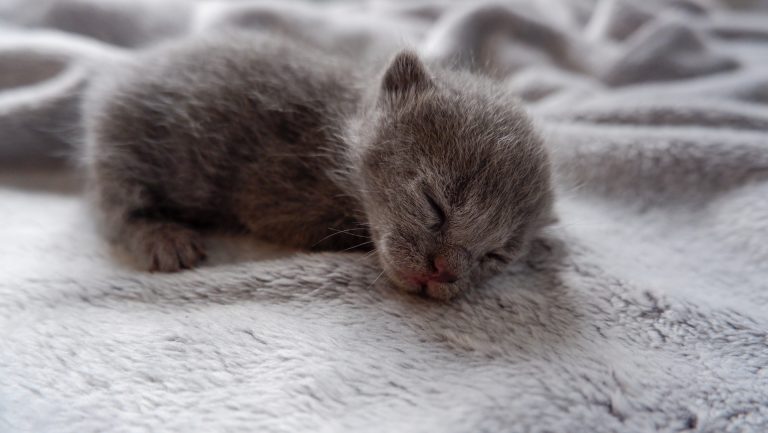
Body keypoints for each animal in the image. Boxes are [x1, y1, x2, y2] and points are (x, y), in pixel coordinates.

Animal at [82, 31, 552, 300]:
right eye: (434, 203)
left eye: (495, 255)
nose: (444, 271)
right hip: (125, 146)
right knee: (114, 208)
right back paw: (161, 237)